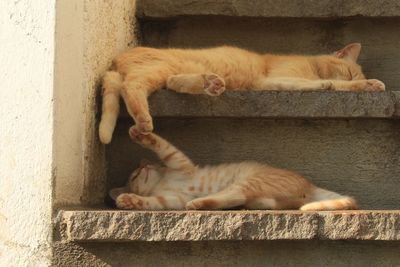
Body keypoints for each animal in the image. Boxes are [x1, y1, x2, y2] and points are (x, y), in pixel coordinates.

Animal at [101, 43, 388, 144]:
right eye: (349, 73)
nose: (355, 78)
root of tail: (116, 59)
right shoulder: (274, 79)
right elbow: (327, 85)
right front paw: (364, 84)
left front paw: (370, 85)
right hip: (155, 69)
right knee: (131, 86)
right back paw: (143, 122)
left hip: (166, 73)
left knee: (172, 82)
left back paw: (210, 84)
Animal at [108, 126, 356, 213]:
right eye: (134, 175)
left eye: (139, 170)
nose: (144, 164)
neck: (161, 183)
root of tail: (309, 184)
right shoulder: (172, 198)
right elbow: (152, 202)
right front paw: (129, 200)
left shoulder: (177, 161)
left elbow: (160, 144)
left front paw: (141, 135)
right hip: (259, 193)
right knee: (243, 199)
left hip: (249, 180)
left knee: (234, 195)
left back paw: (199, 202)